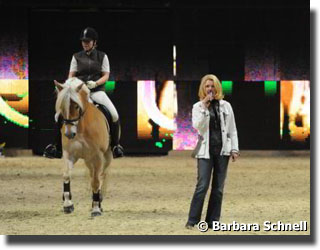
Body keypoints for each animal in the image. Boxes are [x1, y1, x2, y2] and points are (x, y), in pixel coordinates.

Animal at [53, 77, 112, 217]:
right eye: (61, 107)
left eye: (76, 106)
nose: (69, 134)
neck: (81, 127)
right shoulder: (69, 154)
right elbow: (66, 175)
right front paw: (68, 204)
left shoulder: (97, 156)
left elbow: (96, 181)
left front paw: (96, 208)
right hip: (88, 160)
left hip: (105, 158)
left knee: (101, 176)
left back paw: (99, 202)